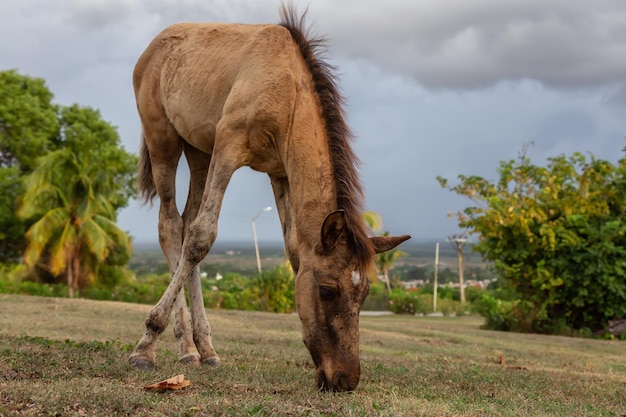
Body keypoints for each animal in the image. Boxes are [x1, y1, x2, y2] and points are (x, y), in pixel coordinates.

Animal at [129, 4, 408, 392]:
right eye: (327, 290)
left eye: (365, 293)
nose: (345, 379)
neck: (287, 93)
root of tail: (152, 48)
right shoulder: (228, 147)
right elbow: (203, 237)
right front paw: (144, 346)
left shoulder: (279, 172)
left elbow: (292, 250)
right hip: (164, 141)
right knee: (171, 226)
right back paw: (173, 345)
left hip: (199, 151)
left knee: (184, 224)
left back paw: (201, 350)